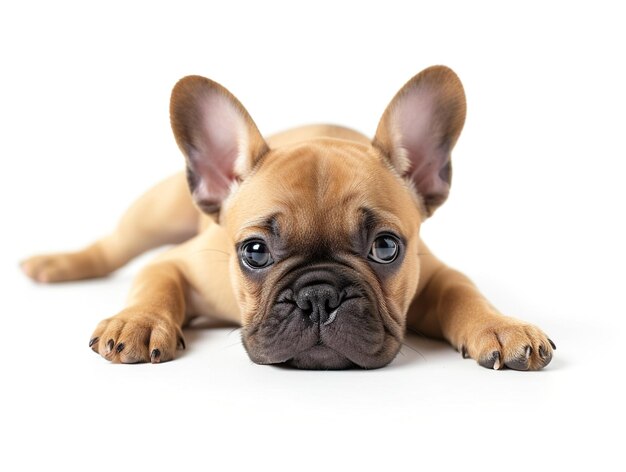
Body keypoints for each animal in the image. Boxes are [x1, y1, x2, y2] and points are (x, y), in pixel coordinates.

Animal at [22, 65, 552, 368]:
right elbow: (155, 283)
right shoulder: (178, 263)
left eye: (385, 247)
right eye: (254, 252)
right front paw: (138, 322)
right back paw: (57, 263)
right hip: (155, 213)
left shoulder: (437, 272)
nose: (319, 297)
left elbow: (463, 292)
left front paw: (500, 326)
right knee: (113, 246)